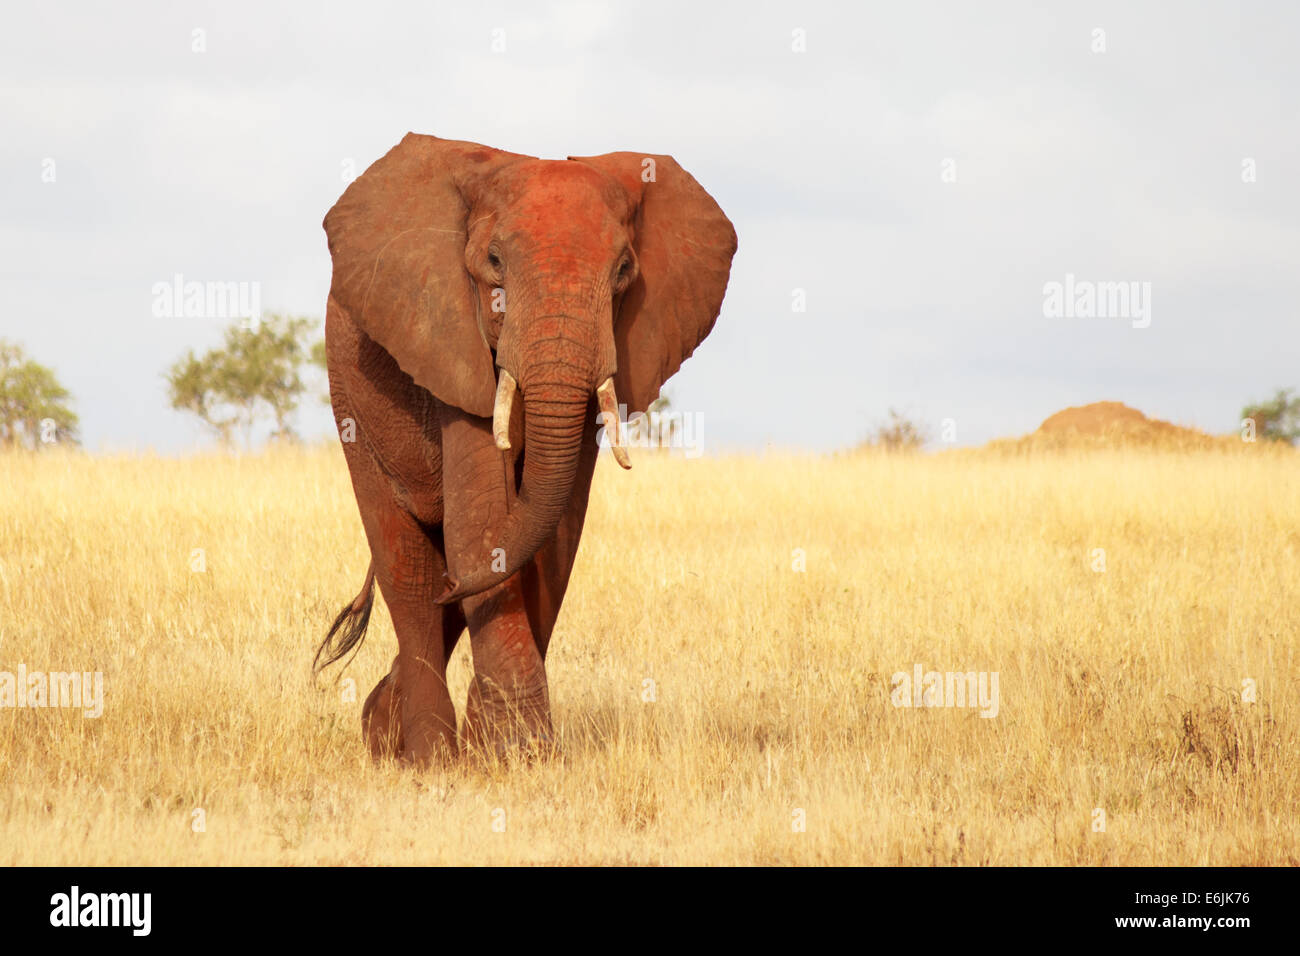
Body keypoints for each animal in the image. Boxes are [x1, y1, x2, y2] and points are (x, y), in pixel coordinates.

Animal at [313, 130, 738, 764]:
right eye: (493, 263)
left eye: (624, 270)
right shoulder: (448, 337)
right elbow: (481, 521)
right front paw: (515, 752)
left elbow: (553, 533)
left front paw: (508, 748)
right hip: (350, 394)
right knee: (408, 569)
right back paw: (424, 756)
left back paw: (384, 729)